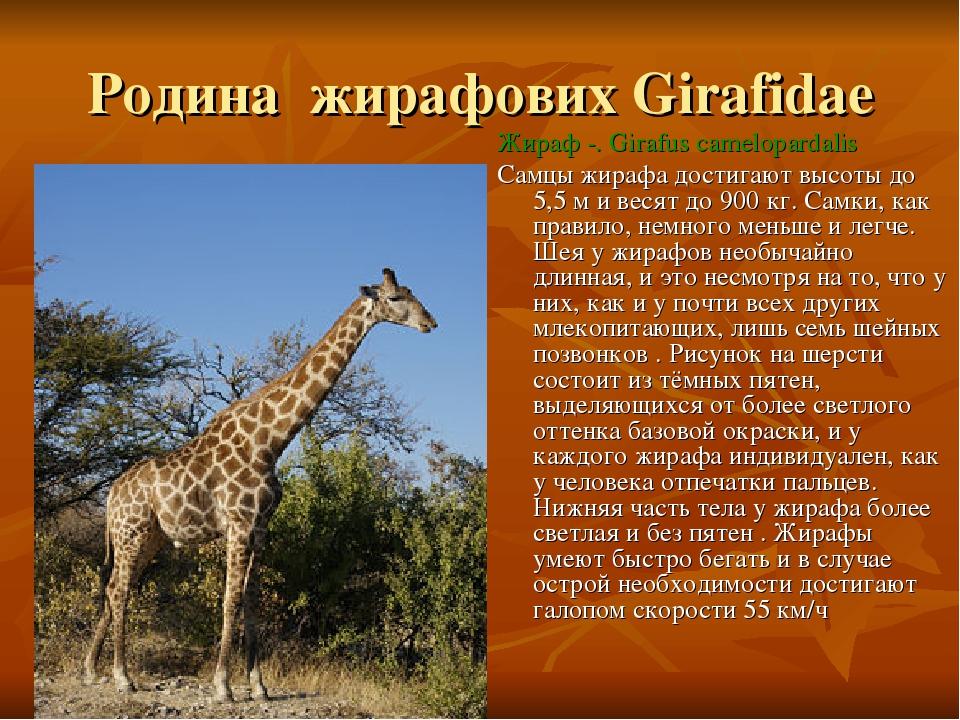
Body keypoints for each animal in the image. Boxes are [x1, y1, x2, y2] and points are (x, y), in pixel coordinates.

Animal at [82, 268, 437, 702]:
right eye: (398, 297)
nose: (430, 323)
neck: (269, 441)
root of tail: (111, 495)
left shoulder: (262, 527)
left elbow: (251, 598)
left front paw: (259, 685)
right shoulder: (237, 524)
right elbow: (230, 598)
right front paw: (222, 685)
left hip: (150, 536)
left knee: (116, 586)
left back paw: (91, 670)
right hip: (130, 533)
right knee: (119, 590)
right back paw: (122, 676)